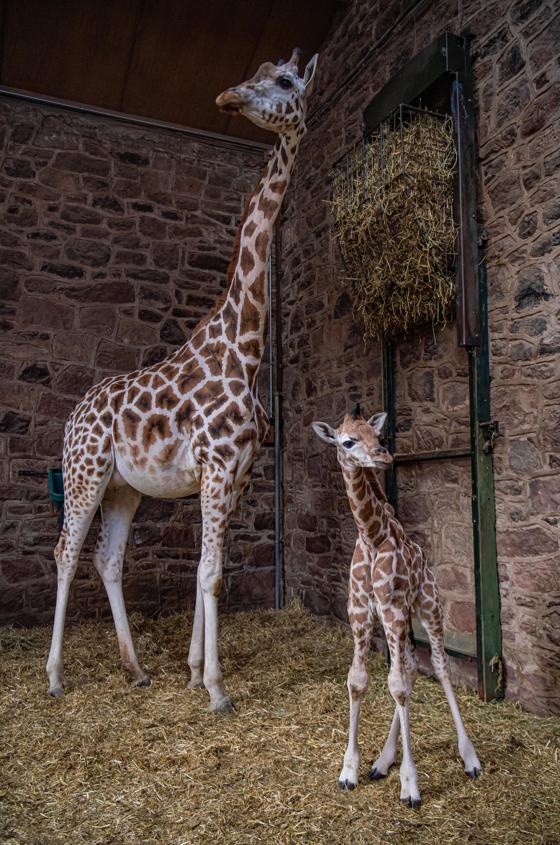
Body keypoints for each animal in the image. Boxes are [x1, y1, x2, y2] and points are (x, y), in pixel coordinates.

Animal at [46, 49, 319, 713]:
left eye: (284, 80)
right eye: (256, 74)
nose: (228, 98)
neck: (245, 349)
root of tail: (72, 417)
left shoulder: (236, 475)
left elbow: (204, 571)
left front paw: (194, 671)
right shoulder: (217, 468)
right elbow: (213, 574)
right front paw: (216, 690)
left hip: (124, 488)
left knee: (107, 559)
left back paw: (136, 668)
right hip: (85, 473)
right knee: (66, 552)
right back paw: (56, 676)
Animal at [312, 406, 481, 807]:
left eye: (379, 436)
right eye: (347, 441)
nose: (382, 456)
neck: (372, 536)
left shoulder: (390, 609)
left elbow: (398, 685)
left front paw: (410, 785)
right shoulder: (359, 611)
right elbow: (359, 681)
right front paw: (350, 770)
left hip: (427, 607)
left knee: (438, 666)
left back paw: (470, 758)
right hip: (404, 620)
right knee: (411, 668)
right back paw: (383, 760)